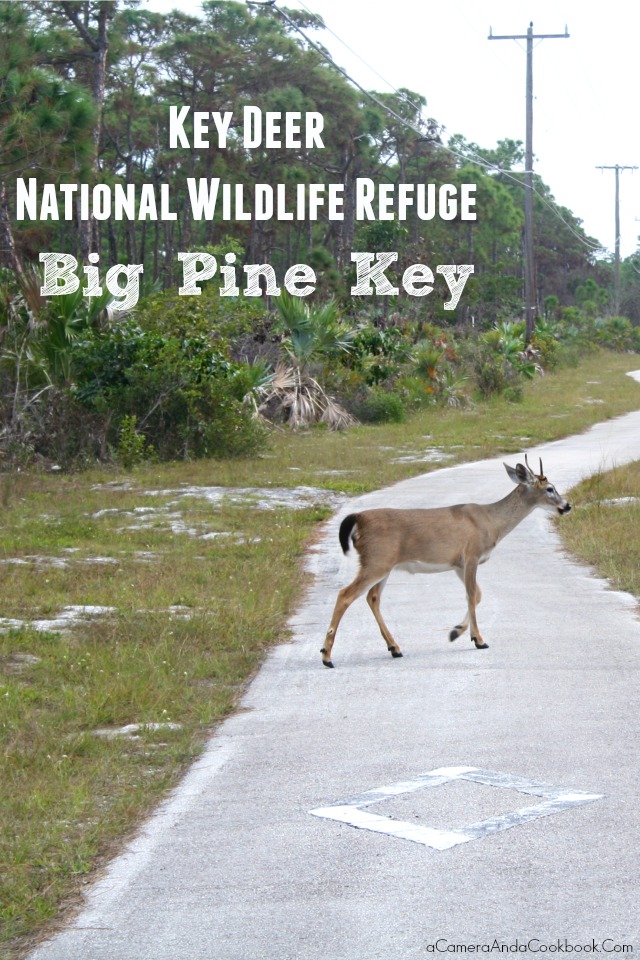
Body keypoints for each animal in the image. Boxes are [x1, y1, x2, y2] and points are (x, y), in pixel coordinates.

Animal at [320, 456, 571, 667]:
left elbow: (477, 595)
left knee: (372, 597)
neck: (491, 522)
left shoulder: (458, 564)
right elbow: (471, 595)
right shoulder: (471, 554)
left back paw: (395, 648)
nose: (567, 506)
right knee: (345, 594)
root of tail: (358, 519)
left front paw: (456, 631)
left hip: (384, 564)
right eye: (550, 488)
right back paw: (327, 656)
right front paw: (479, 639)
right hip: (376, 560)